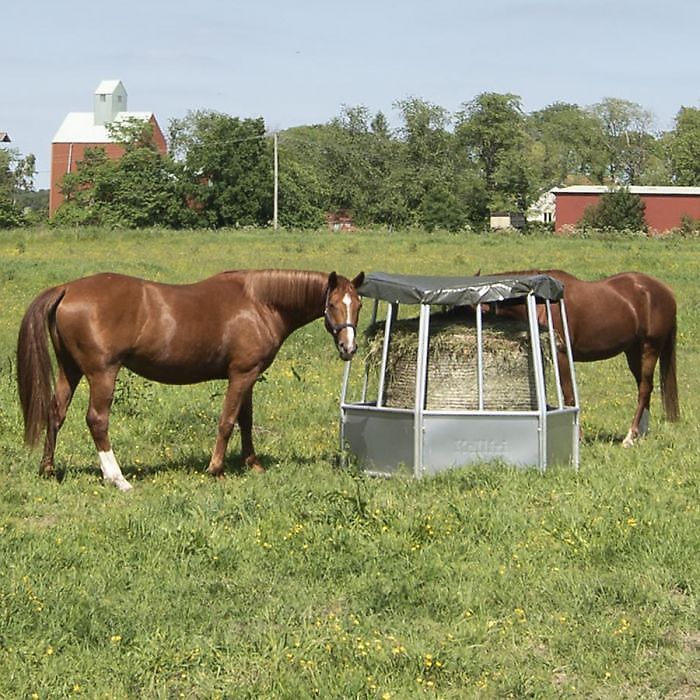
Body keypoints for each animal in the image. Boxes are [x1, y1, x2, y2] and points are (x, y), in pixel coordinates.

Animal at [18, 266, 364, 490]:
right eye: (333, 304)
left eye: (358, 304)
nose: (348, 348)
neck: (259, 303)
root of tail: (67, 288)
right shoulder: (240, 376)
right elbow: (227, 421)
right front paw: (216, 469)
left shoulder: (249, 376)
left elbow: (246, 421)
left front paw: (252, 464)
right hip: (102, 373)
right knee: (97, 420)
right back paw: (117, 478)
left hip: (70, 369)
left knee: (56, 413)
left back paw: (48, 469)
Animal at [484, 270, 676, 446]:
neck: (542, 304)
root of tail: (665, 290)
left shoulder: (561, 356)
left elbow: (569, 396)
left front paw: (578, 437)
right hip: (634, 352)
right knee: (644, 388)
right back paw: (640, 435)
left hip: (650, 348)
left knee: (644, 388)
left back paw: (630, 437)